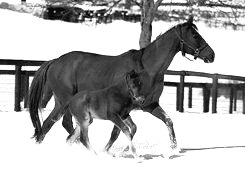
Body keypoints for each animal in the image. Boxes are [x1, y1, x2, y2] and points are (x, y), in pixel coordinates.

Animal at [29, 16, 215, 152]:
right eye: (195, 35)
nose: (211, 55)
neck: (147, 69)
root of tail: (54, 61)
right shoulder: (120, 110)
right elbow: (117, 132)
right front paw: (107, 151)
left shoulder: (149, 105)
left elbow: (166, 122)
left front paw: (174, 148)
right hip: (63, 102)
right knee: (49, 125)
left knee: (65, 126)